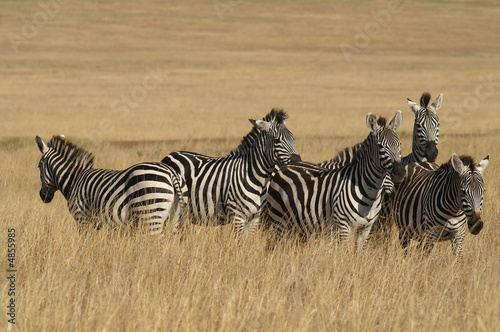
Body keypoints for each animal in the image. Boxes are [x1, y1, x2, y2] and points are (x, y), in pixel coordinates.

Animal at [35, 134, 188, 235]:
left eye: (39, 166)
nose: (43, 196)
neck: (74, 179)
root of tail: (170, 172)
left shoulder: (82, 218)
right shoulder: (96, 223)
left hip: (151, 214)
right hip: (173, 217)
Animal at [161, 109, 300, 239]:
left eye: (293, 138)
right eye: (276, 140)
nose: (297, 161)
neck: (257, 178)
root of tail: (169, 155)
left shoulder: (255, 217)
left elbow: (247, 243)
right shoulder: (238, 216)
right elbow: (238, 243)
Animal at [266, 111, 406, 249]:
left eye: (399, 144)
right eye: (380, 146)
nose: (400, 173)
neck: (370, 195)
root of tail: (285, 166)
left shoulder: (366, 229)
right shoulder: (343, 226)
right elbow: (345, 252)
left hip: (299, 223)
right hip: (279, 219)